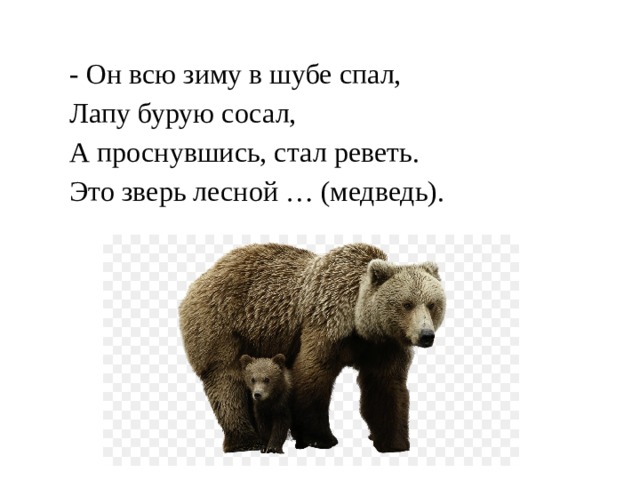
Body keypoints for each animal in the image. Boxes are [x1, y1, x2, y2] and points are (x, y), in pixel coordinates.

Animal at [179, 243, 446, 453]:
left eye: (432, 303)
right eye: (407, 304)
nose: (426, 336)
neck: (359, 324)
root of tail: (200, 278)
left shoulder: (383, 346)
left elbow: (385, 386)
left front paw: (393, 441)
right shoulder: (325, 325)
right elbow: (312, 374)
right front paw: (320, 438)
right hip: (221, 324)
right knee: (226, 380)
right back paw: (245, 440)